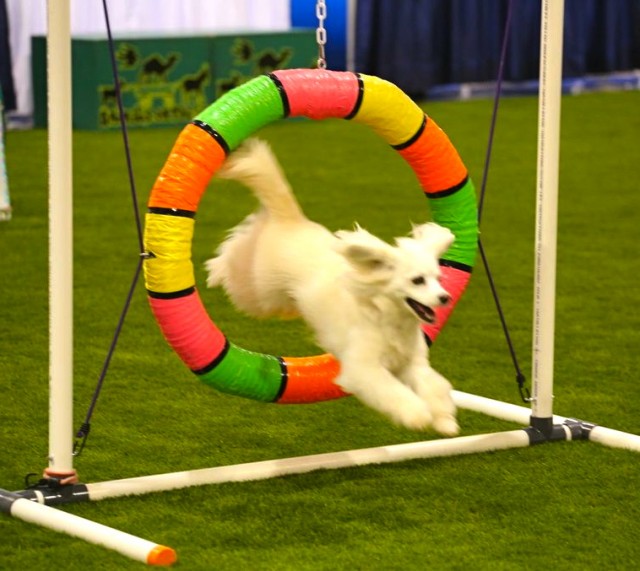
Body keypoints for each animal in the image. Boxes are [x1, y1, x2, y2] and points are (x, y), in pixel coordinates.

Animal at [208, 141, 458, 436]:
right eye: (417, 280)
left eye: (438, 277)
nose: (445, 297)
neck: (389, 320)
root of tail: (292, 220)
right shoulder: (364, 369)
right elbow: (393, 392)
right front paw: (416, 415)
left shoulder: (412, 364)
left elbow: (435, 386)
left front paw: (444, 420)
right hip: (258, 291)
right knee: (234, 253)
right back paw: (216, 269)